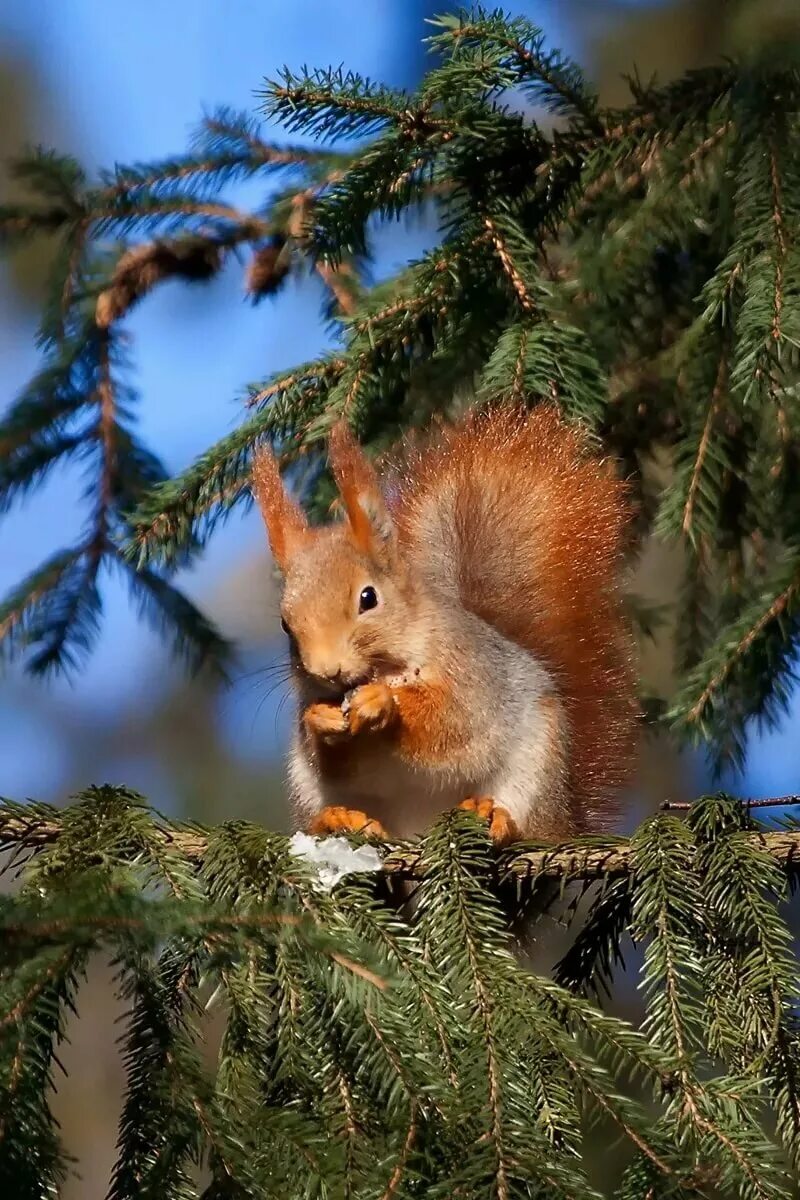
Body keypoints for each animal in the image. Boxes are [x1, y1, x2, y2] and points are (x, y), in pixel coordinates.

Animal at [250, 403, 638, 844]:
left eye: (368, 598)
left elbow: (449, 724)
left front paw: (383, 703)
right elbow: (332, 759)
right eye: (285, 624)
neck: (387, 667)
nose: (327, 670)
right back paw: (337, 819)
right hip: (306, 789)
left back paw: (494, 815)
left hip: (537, 767)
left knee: (526, 823)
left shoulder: (471, 674)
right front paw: (322, 720)